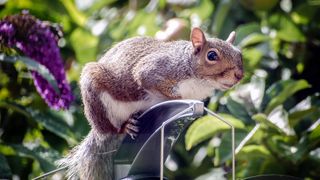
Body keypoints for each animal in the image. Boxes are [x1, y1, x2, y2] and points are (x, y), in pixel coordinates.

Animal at [57, 27, 242, 179]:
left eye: (239, 54)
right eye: (211, 56)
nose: (239, 75)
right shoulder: (156, 69)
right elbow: (151, 80)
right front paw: (177, 99)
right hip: (96, 96)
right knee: (109, 129)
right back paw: (124, 127)